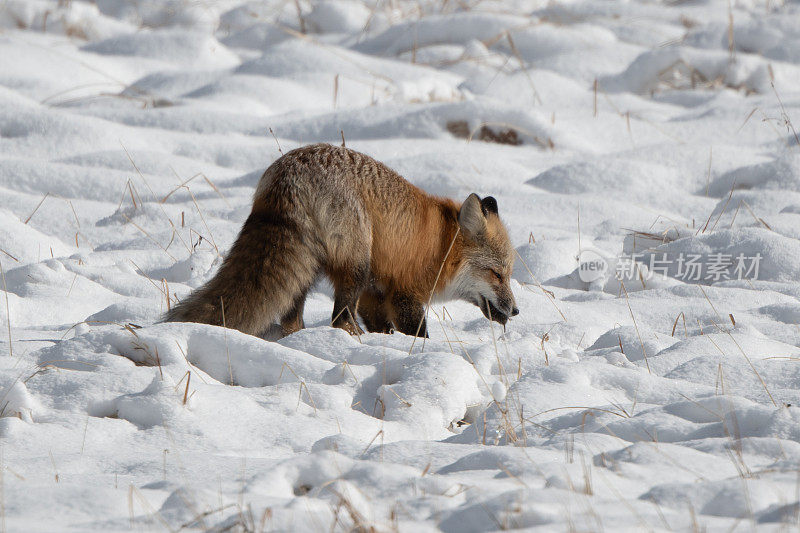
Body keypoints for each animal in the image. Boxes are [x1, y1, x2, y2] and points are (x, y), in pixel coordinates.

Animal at [166, 142, 520, 336]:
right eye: (497, 274)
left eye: (508, 274)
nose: (516, 311)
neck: (441, 244)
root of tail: (288, 176)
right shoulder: (405, 294)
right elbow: (418, 334)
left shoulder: (375, 295)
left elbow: (382, 325)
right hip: (355, 264)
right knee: (339, 319)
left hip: (309, 272)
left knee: (293, 318)